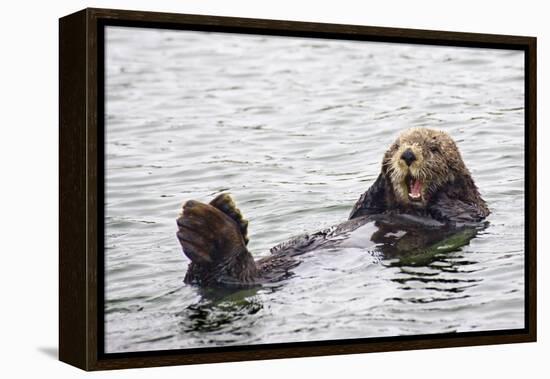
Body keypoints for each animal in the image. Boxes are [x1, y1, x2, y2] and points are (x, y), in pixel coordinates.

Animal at [178, 129, 492, 286]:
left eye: (434, 149)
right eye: (398, 144)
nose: (408, 154)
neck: (413, 207)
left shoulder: (472, 211)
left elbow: (459, 210)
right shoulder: (368, 208)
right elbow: (362, 207)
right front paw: (383, 175)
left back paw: (212, 229)